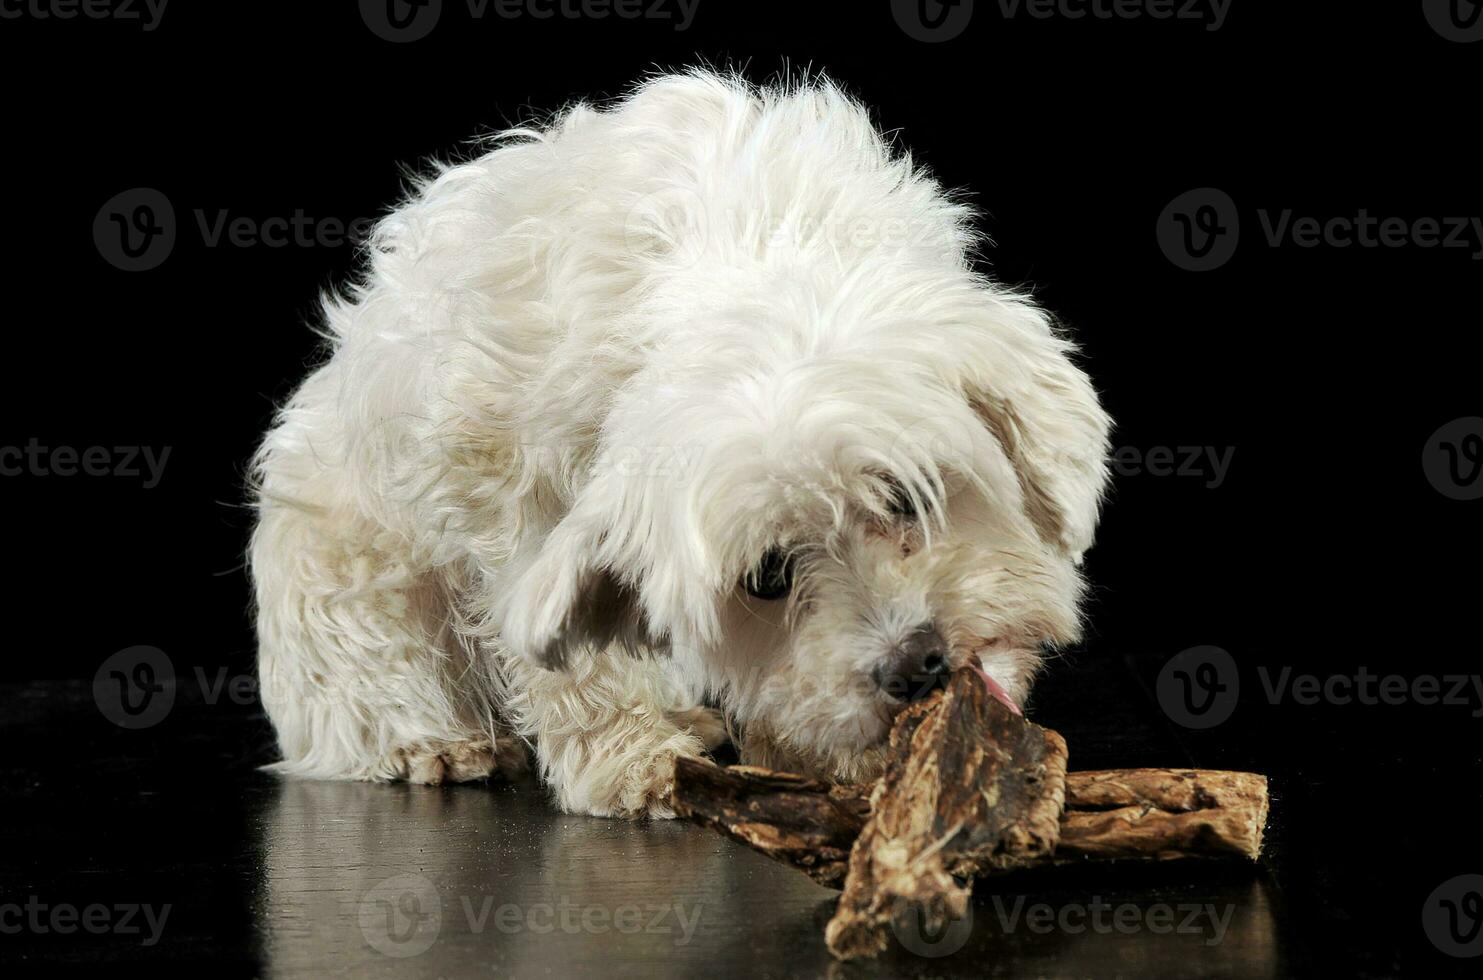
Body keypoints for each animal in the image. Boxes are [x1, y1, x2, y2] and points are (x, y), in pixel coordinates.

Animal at [252, 70, 1115, 818]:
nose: (913, 665)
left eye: (906, 496)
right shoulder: (505, 485)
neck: (744, 251)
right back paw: (421, 738)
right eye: (766, 577)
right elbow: (567, 658)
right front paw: (632, 758)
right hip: (339, 558)